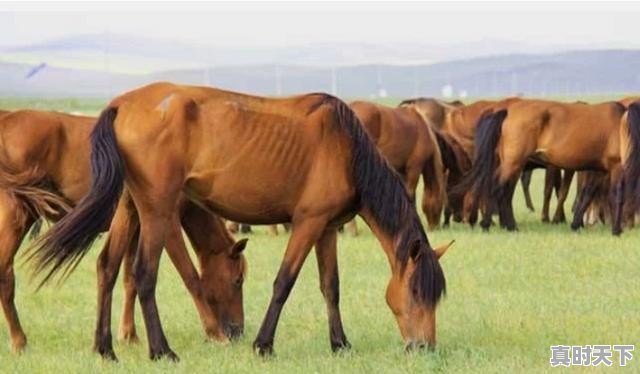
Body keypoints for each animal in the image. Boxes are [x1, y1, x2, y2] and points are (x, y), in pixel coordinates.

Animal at [0, 109, 248, 360]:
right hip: (16, 216)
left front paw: (129, 334)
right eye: (238, 280)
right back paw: (19, 341)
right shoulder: (166, 223)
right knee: (5, 275)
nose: (238, 331)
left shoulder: (137, 226)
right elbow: (190, 275)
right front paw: (214, 333)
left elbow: (130, 279)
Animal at [458, 99, 628, 234]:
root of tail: (506, 111)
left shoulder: (600, 171)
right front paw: (616, 230)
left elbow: (587, 194)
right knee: (497, 189)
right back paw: (488, 225)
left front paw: (576, 224)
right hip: (513, 164)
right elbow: (617, 194)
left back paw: (509, 226)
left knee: (504, 192)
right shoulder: (617, 167)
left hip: (512, 164)